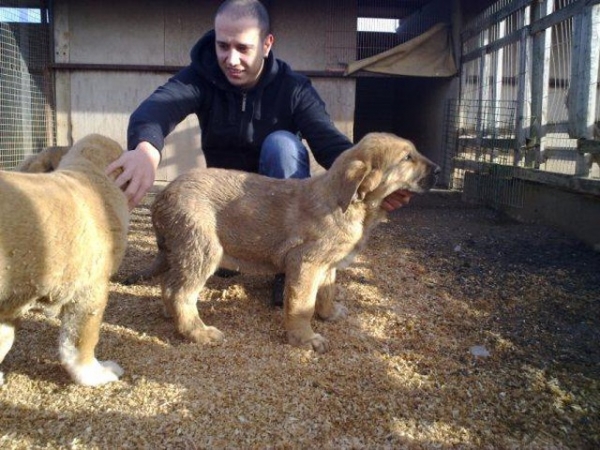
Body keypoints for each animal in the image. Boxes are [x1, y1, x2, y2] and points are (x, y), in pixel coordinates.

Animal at [129, 132, 438, 354]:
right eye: (407, 157)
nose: (438, 169)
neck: (348, 203)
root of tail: (161, 196)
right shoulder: (305, 263)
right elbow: (303, 304)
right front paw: (305, 339)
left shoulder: (327, 266)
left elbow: (326, 293)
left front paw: (329, 314)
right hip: (203, 249)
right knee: (179, 292)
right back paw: (198, 332)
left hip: (184, 250)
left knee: (168, 284)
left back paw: (172, 317)